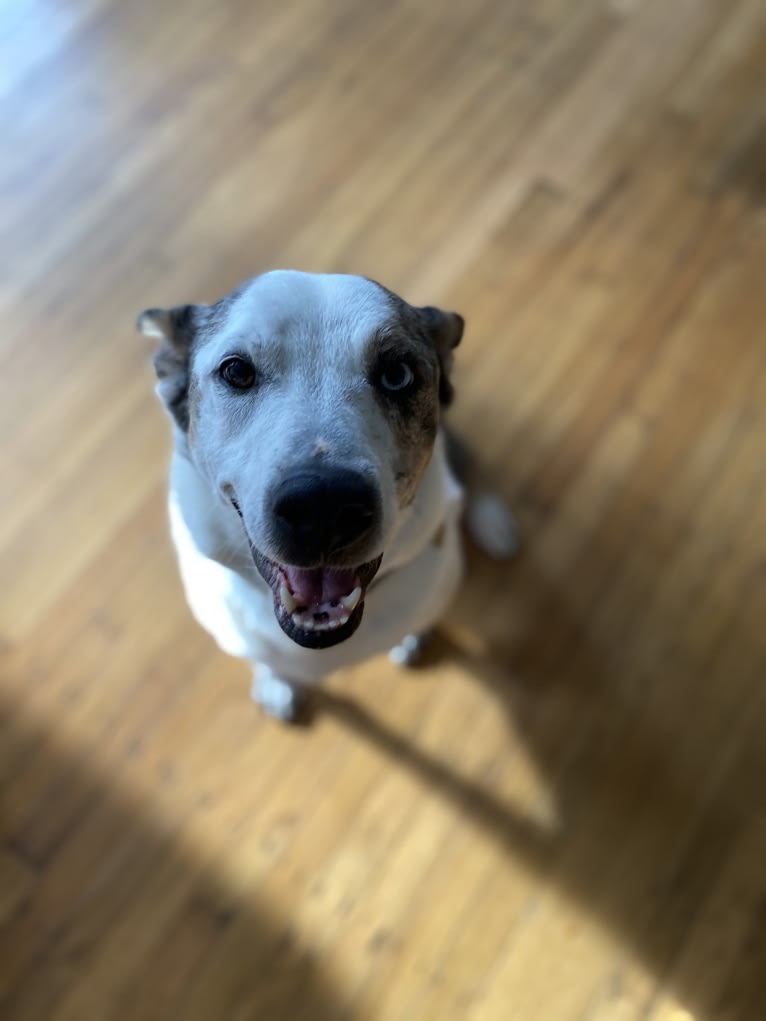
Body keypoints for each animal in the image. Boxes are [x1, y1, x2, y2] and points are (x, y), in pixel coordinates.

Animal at [140, 271, 518, 718]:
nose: (324, 508)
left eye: (398, 374)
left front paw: (413, 636)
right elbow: (267, 659)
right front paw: (277, 681)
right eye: (236, 372)